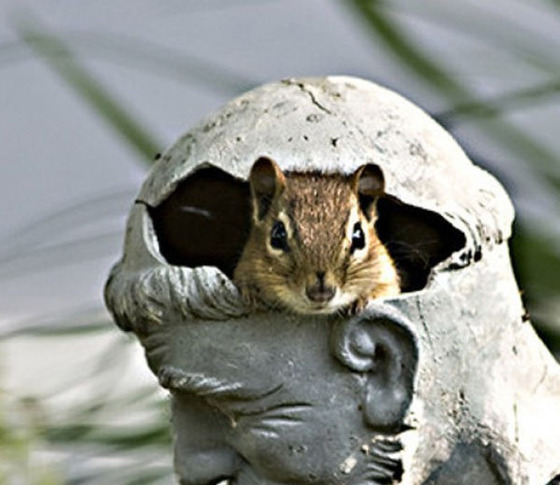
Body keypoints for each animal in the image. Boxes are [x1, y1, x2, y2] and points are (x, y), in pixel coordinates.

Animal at [233, 156, 400, 315]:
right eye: (277, 236)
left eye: (359, 238)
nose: (321, 293)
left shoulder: (387, 276)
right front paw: (251, 294)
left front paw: (360, 300)